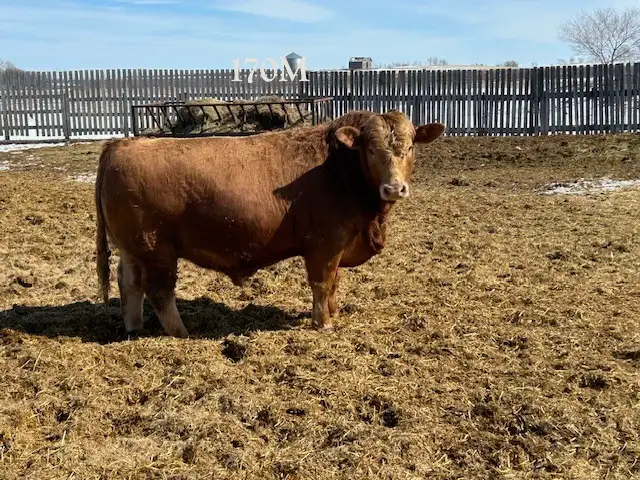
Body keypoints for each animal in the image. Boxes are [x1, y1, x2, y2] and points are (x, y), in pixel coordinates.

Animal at [94, 109, 445, 337]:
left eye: (410, 146)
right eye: (371, 148)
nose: (394, 188)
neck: (339, 168)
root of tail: (121, 144)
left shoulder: (339, 246)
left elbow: (334, 284)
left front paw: (333, 312)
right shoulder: (324, 245)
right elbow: (322, 283)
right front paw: (324, 323)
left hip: (132, 248)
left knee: (130, 285)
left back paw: (134, 328)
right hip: (157, 249)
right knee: (160, 292)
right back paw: (181, 333)